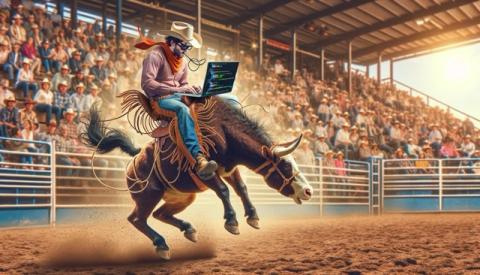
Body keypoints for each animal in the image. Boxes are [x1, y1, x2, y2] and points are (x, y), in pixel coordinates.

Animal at [81, 91, 316, 260]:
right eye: (285, 166)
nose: (308, 191)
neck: (224, 132)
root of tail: (136, 158)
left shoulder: (229, 169)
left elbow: (241, 188)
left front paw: (253, 217)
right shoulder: (203, 172)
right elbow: (223, 190)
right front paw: (232, 222)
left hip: (183, 197)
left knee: (159, 214)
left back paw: (189, 230)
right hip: (148, 195)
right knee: (137, 219)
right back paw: (162, 245)